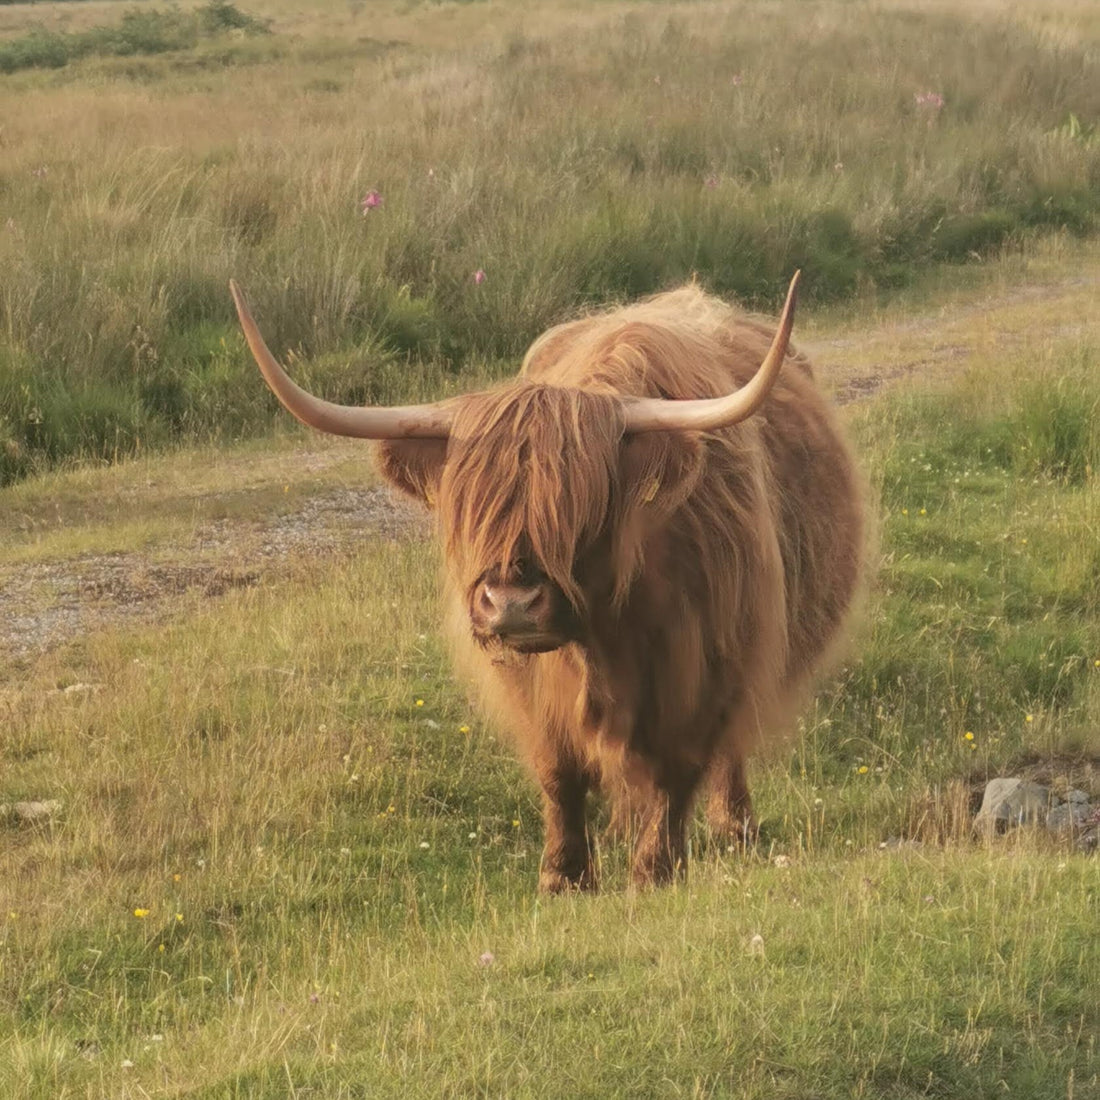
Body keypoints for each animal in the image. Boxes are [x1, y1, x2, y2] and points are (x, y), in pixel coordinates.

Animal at [232, 270, 862, 888]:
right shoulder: (535, 692)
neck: (606, 639)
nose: (511, 605)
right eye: (471, 508)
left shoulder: (706, 662)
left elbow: (678, 768)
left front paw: (655, 870)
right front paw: (563, 874)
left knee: (729, 749)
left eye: (586, 509)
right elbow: (559, 775)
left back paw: (735, 827)